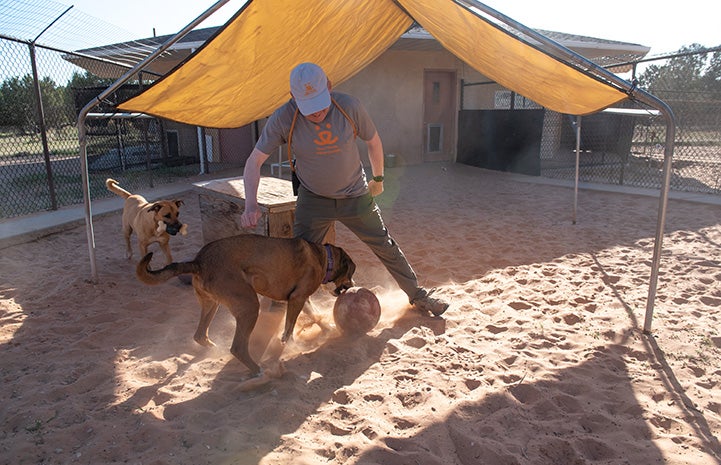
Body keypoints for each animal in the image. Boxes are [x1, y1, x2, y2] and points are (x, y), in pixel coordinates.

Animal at [134, 234, 354, 376]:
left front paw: (326, 328)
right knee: (238, 347)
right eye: (350, 273)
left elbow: (311, 316)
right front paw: (291, 345)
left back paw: (214, 348)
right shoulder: (297, 298)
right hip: (249, 306)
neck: (324, 258)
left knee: (200, 335)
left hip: (211, 304)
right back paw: (258, 370)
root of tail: (199, 261)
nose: (352, 285)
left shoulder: (299, 299)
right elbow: (288, 329)